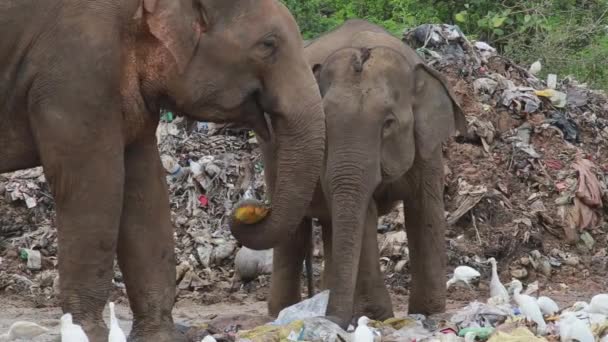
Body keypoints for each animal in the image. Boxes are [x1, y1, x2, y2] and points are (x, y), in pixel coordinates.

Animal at [0, 1, 326, 340]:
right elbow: (93, 187)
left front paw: (157, 336)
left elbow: (146, 189)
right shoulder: (74, 72)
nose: (253, 206)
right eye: (268, 44)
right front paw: (86, 333)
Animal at [232, 19, 466, 328]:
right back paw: (283, 310)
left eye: (388, 123)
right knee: (295, 229)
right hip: (271, 148)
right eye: (325, 122)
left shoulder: (427, 147)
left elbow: (424, 209)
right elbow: (364, 212)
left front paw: (429, 312)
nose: (249, 207)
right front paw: (376, 316)